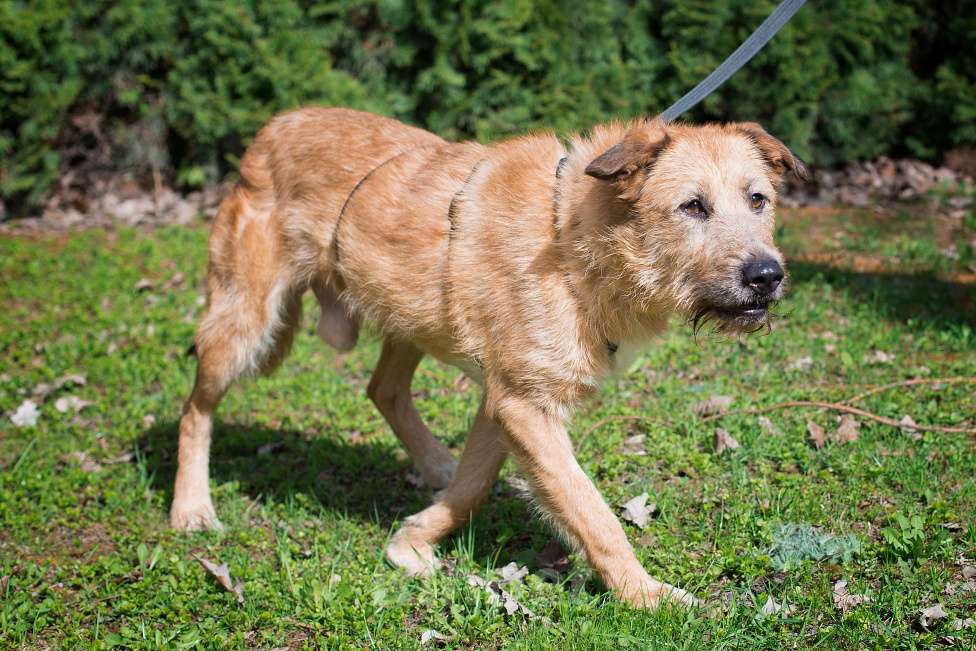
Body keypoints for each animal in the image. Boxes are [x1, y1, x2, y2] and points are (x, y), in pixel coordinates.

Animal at [170, 107, 808, 612]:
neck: (574, 238)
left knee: (384, 389)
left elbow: (474, 485)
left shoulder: (503, 400)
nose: (767, 275)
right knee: (194, 409)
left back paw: (432, 463)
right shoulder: (524, 406)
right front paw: (645, 595)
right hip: (245, 325)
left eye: (758, 199)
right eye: (692, 207)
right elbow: (593, 514)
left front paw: (413, 540)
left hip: (409, 318)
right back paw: (191, 508)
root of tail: (273, 125)